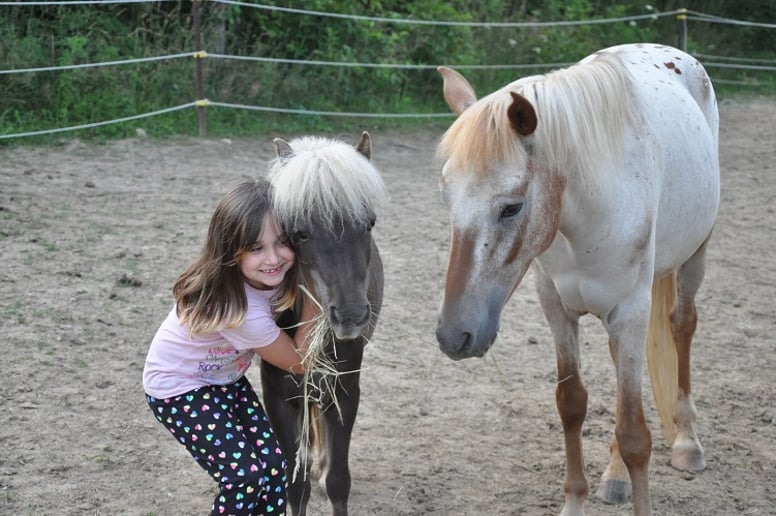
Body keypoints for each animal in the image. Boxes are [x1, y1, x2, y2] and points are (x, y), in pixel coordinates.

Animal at [261, 132, 388, 516]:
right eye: (300, 233)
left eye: (369, 223)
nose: (351, 315)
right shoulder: (279, 399)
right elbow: (295, 486)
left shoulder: (344, 394)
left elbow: (338, 482)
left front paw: (325, 472)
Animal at [434, 43, 719, 515]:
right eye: (447, 198)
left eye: (512, 207)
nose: (454, 335)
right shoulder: (557, 309)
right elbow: (571, 404)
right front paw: (576, 499)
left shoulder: (630, 311)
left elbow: (635, 435)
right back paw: (615, 476)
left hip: (695, 255)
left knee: (683, 325)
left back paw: (687, 442)